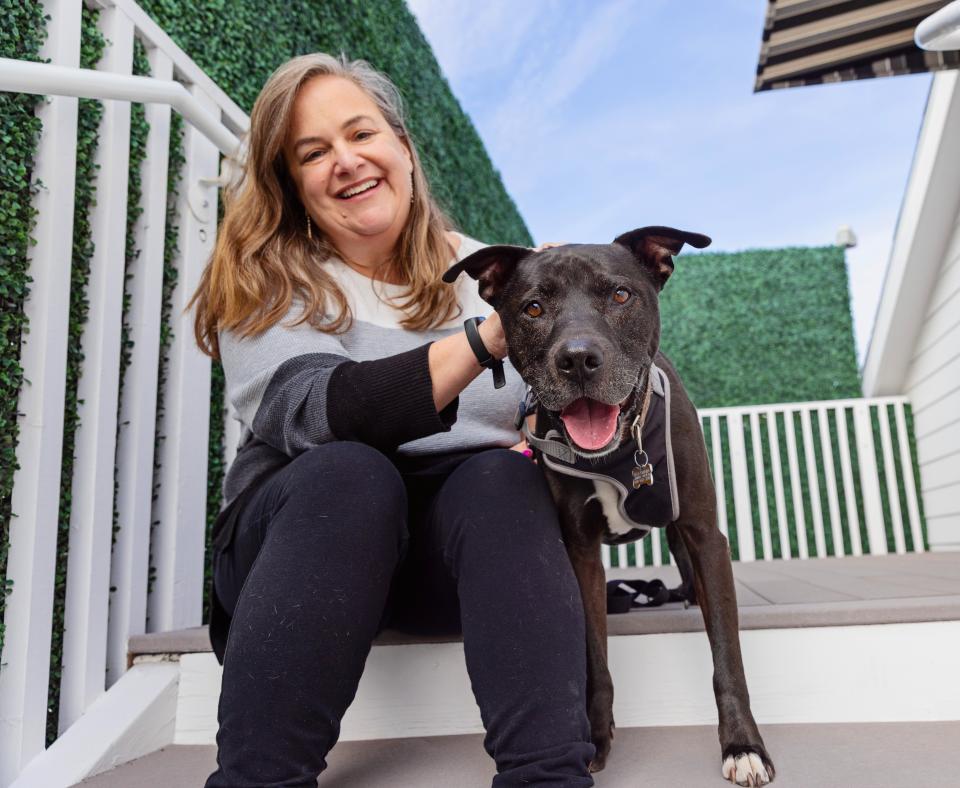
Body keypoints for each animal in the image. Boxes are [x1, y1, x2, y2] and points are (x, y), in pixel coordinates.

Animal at [446, 226, 776, 780]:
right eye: (533, 307)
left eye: (620, 295)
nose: (577, 359)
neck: (620, 450)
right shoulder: (580, 552)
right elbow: (595, 658)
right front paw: (597, 734)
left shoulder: (705, 534)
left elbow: (727, 654)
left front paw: (743, 746)